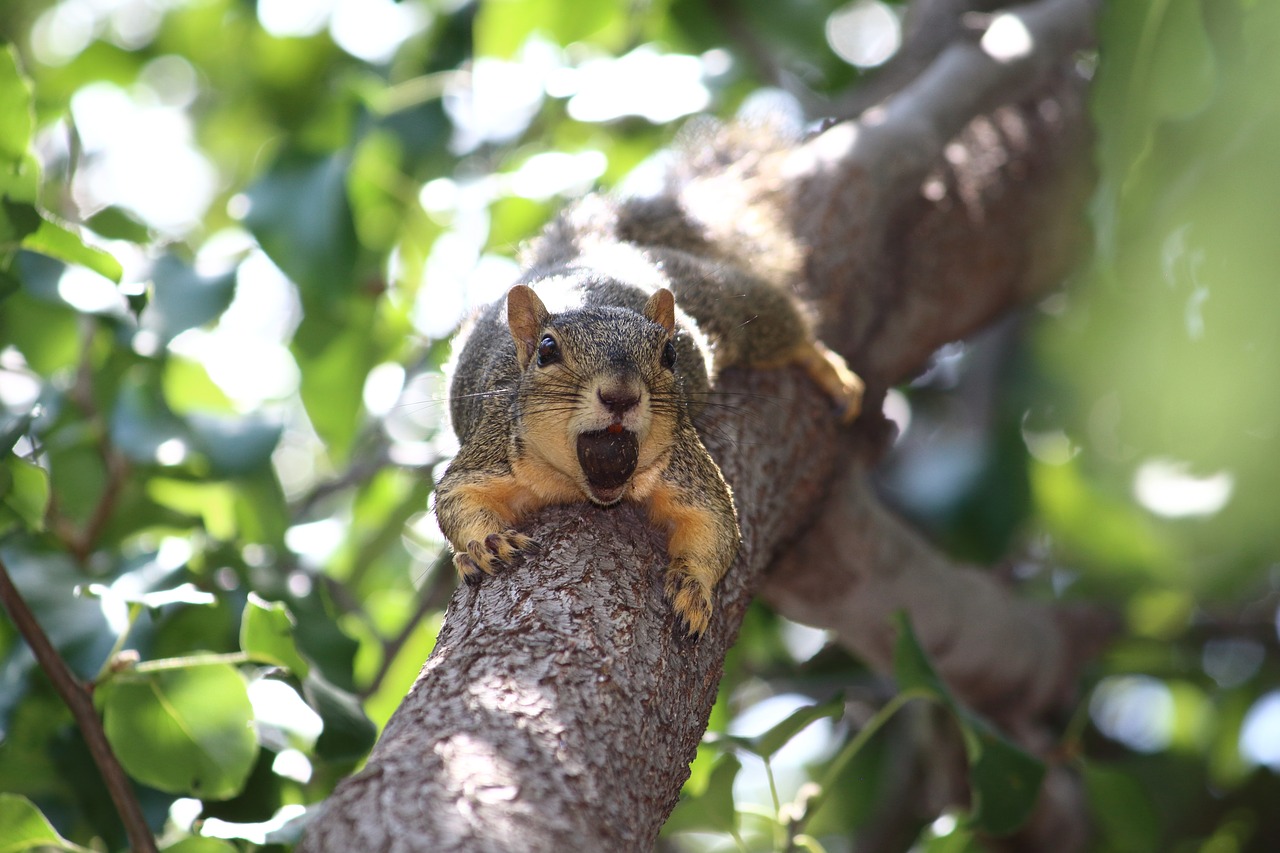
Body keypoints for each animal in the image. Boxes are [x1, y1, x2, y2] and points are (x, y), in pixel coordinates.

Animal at [435, 126, 865, 635]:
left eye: (670, 353)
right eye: (546, 350)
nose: (620, 395)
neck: (583, 487)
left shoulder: (682, 462)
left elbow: (716, 524)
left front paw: (693, 588)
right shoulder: (495, 447)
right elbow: (456, 498)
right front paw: (485, 545)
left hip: (730, 303)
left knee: (784, 326)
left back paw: (829, 370)